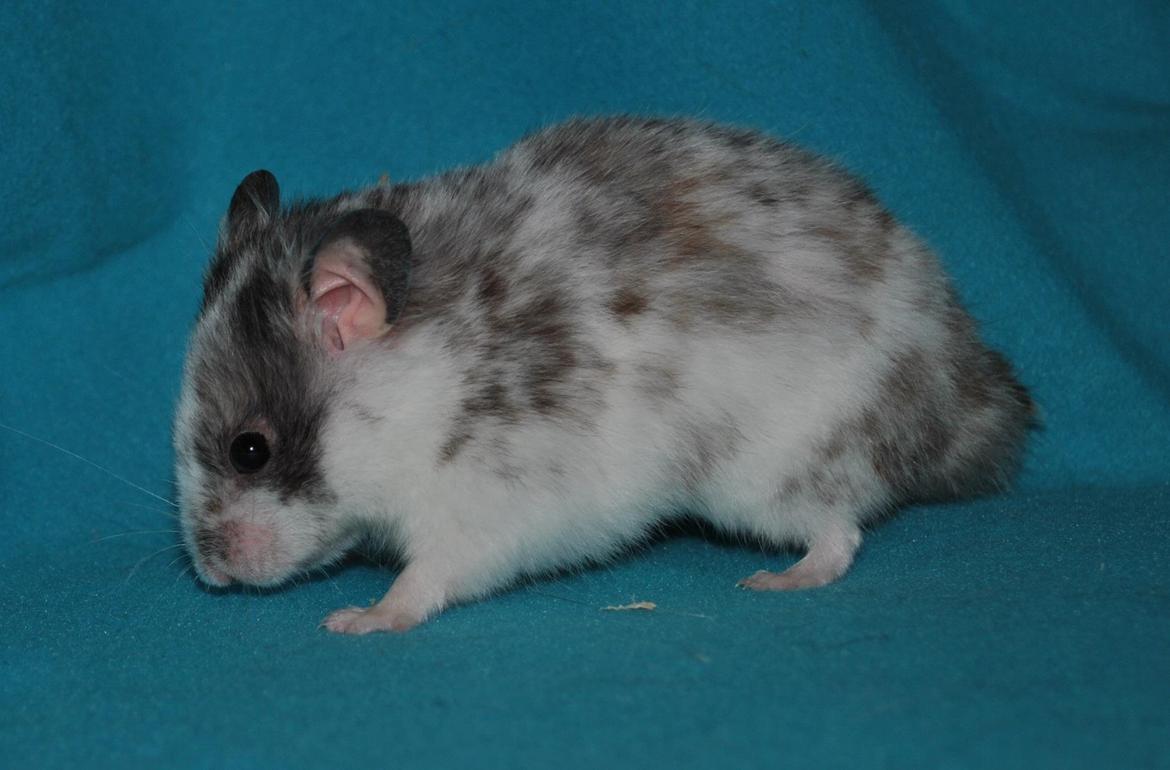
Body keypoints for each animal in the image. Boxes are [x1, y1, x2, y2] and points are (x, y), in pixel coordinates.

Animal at [173, 117, 1034, 634]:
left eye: (249, 449)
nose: (210, 574)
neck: (424, 388)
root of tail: (962, 382)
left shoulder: (482, 509)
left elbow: (426, 578)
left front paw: (356, 620)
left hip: (771, 476)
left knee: (841, 533)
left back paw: (775, 584)